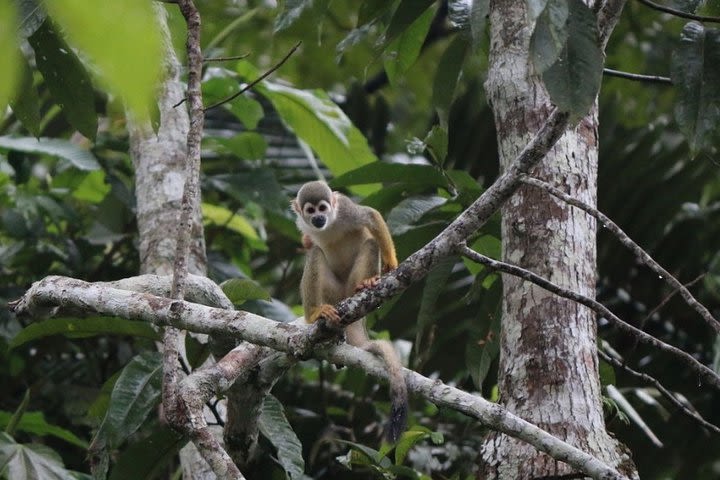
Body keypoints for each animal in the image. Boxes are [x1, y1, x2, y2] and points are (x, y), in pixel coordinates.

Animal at [290, 181, 408, 442]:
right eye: (310, 211)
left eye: (323, 208)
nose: (319, 218)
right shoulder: (301, 222)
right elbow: (309, 243)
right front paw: (307, 240)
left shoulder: (344, 209)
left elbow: (370, 216)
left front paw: (392, 261)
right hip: (332, 293)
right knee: (315, 254)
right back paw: (315, 314)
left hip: (349, 286)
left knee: (371, 243)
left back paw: (366, 284)